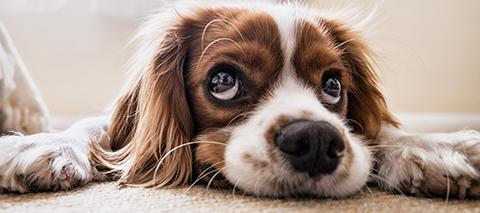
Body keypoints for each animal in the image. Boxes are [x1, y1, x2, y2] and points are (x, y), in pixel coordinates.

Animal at [0, 1, 480, 198]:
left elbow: (379, 133)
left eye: (333, 86)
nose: (316, 141)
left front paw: (435, 148)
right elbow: (93, 129)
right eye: (223, 81)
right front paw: (41, 145)